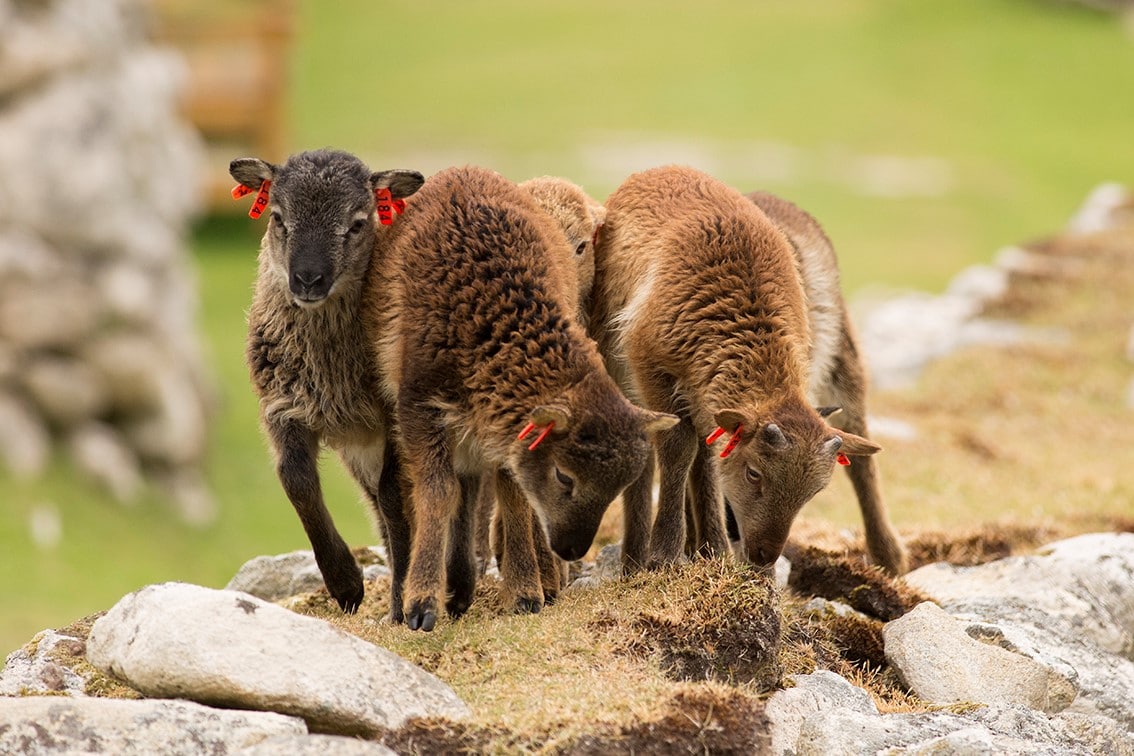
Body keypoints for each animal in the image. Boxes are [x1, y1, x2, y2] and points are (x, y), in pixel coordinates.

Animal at [230, 147, 426, 616]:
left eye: (358, 223)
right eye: (278, 217)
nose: (308, 279)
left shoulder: (392, 414)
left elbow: (394, 494)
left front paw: (399, 601)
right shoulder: (283, 405)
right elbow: (296, 480)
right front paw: (345, 585)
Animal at [367, 165, 675, 634]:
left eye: (617, 486)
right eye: (565, 476)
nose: (571, 549)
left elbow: (513, 496)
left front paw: (527, 591)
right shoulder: (419, 407)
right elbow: (438, 491)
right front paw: (421, 605)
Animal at [589, 165, 907, 575]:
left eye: (814, 491)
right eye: (753, 473)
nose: (762, 556)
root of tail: (657, 170)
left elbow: (704, 454)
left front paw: (711, 550)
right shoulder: (652, 368)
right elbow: (679, 449)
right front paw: (665, 554)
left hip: (842, 366)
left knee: (860, 452)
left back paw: (887, 555)